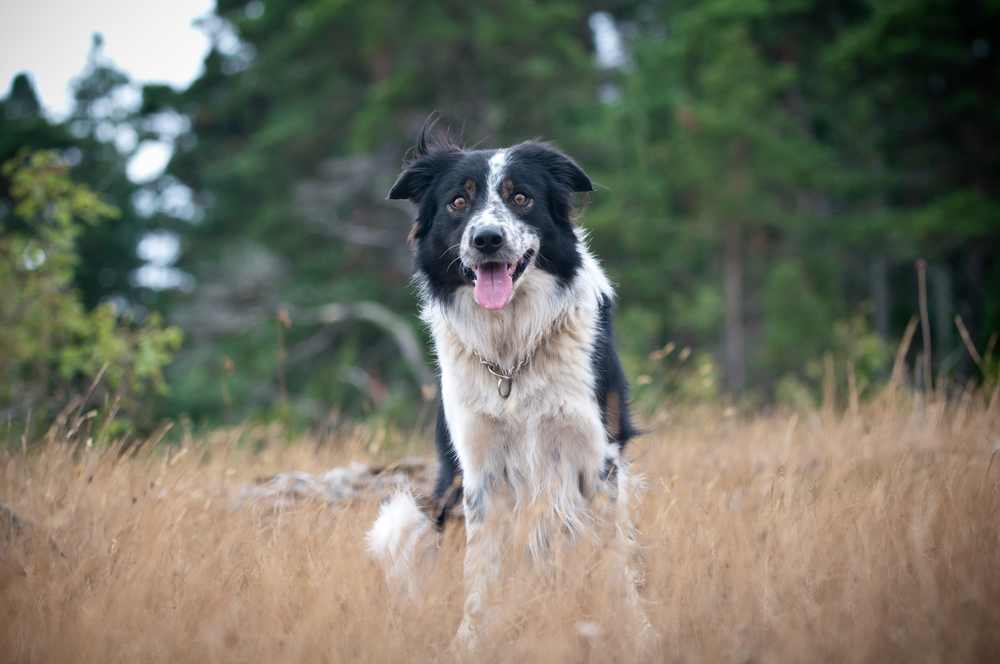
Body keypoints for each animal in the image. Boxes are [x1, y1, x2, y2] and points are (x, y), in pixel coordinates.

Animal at [372, 126, 644, 648]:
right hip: (404, 519)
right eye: (458, 202)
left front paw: (624, 630)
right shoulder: (479, 470)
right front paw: (471, 641)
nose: (487, 239)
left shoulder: (596, 456)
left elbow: (607, 559)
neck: (511, 355)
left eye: (521, 198)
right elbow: (482, 570)